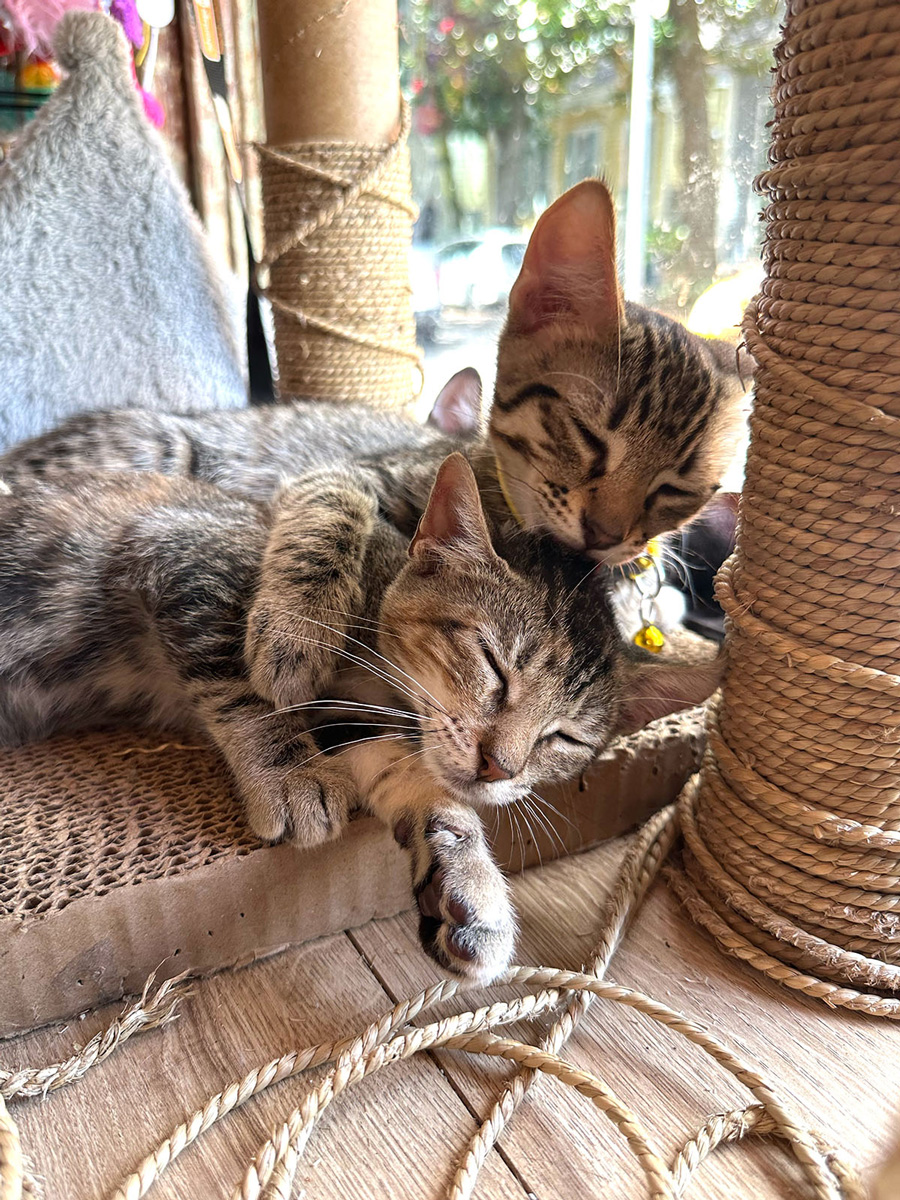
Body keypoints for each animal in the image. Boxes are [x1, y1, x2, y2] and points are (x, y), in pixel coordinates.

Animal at [0, 453, 720, 979]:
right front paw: (290, 776)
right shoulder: (187, 549)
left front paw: (466, 877)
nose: (497, 766)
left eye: (565, 736)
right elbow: (250, 685)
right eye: (494, 664)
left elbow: (410, 777)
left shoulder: (356, 718)